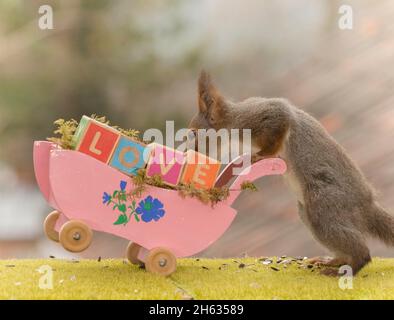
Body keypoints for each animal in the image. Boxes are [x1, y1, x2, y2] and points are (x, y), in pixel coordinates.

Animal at [189, 71, 394, 276]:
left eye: (194, 133)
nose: (192, 151)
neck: (232, 121)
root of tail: (365, 205)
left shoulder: (265, 117)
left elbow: (280, 124)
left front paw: (262, 155)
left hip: (324, 206)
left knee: (362, 253)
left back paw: (347, 268)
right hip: (308, 212)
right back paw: (332, 261)